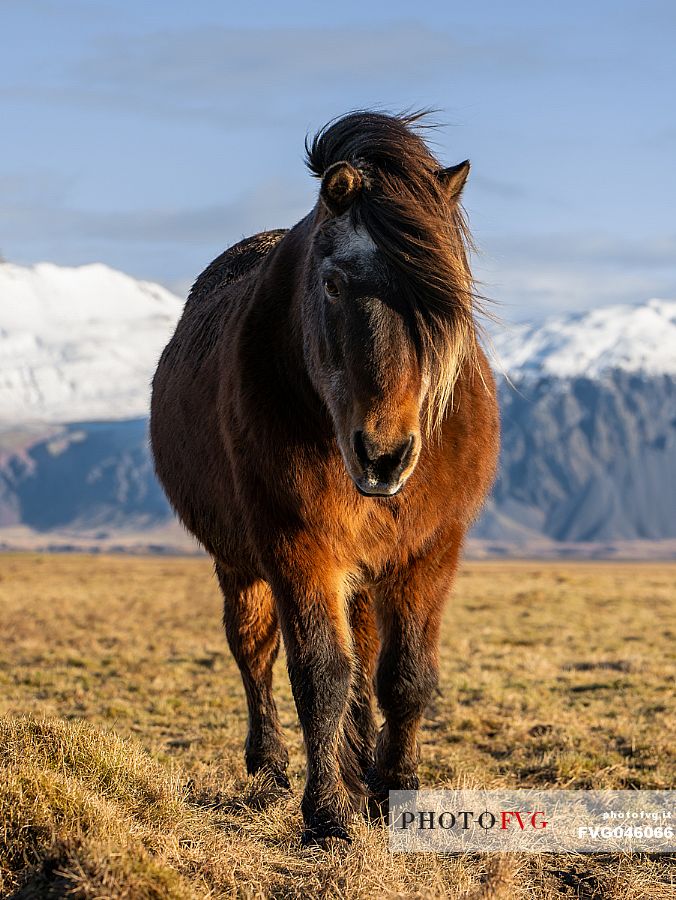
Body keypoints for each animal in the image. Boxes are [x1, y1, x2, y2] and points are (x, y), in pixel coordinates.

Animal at [154, 110, 502, 844]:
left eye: (444, 294)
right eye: (335, 283)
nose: (385, 455)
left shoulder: (431, 550)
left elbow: (404, 677)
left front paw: (394, 791)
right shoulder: (299, 548)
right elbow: (320, 673)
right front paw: (328, 814)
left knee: (366, 664)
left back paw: (361, 770)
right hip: (241, 562)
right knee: (254, 652)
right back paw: (273, 768)